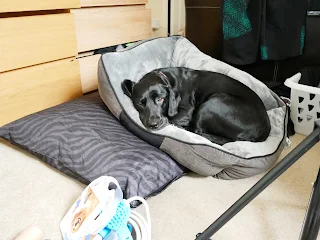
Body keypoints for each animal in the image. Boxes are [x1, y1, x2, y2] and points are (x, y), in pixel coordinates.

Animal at [121, 67, 272, 144]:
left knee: (197, 130)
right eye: (140, 102)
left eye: (160, 99)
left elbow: (172, 118)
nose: (153, 124)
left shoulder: (187, 112)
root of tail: (265, 131)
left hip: (212, 103)